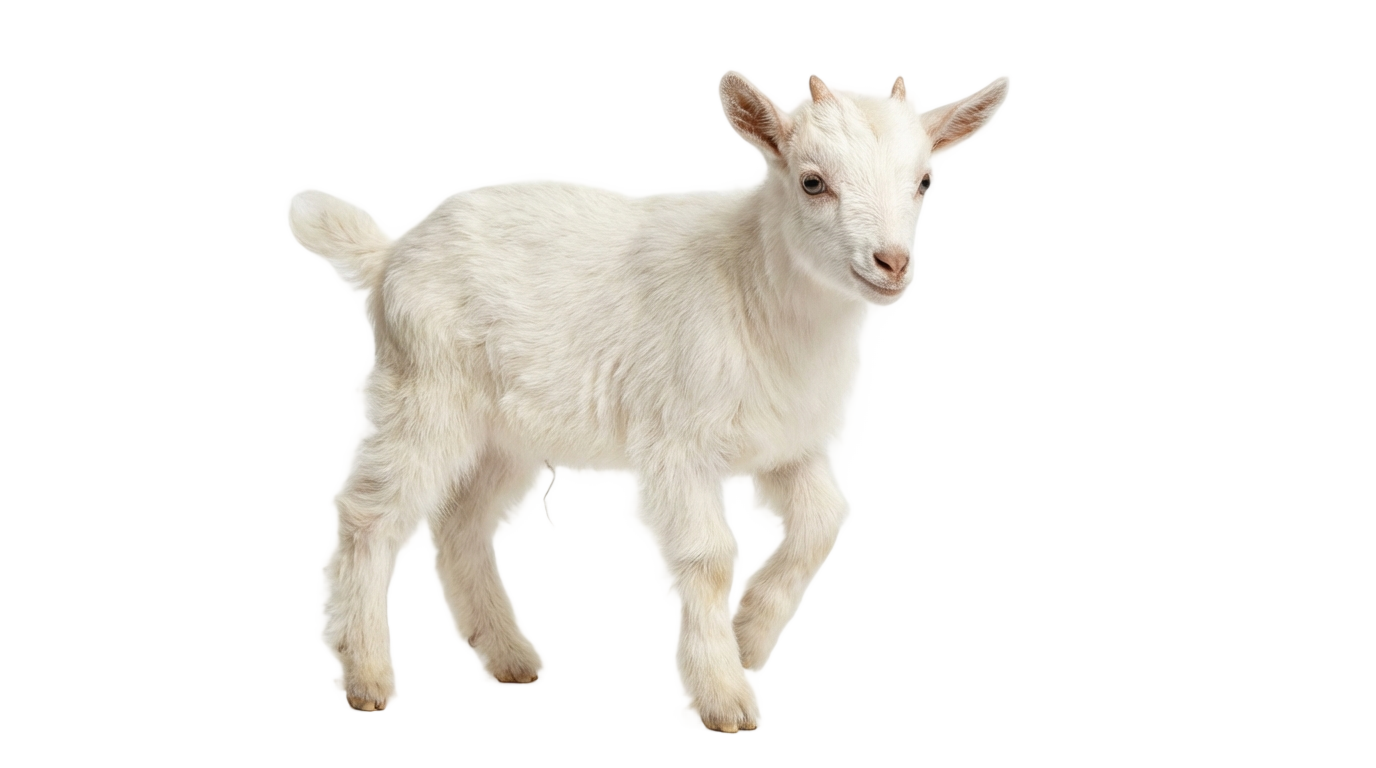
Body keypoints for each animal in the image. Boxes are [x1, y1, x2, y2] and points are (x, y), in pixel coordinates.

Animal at [292, 72, 1005, 732]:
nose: (891, 262)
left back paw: (510, 658)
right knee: (369, 514)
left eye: (923, 182)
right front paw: (725, 698)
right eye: (811, 182)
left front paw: (749, 638)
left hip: (508, 433)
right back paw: (368, 678)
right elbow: (709, 558)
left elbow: (822, 525)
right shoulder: (677, 441)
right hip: (425, 392)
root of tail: (388, 257)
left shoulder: (787, 445)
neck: (749, 286)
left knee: (460, 523)